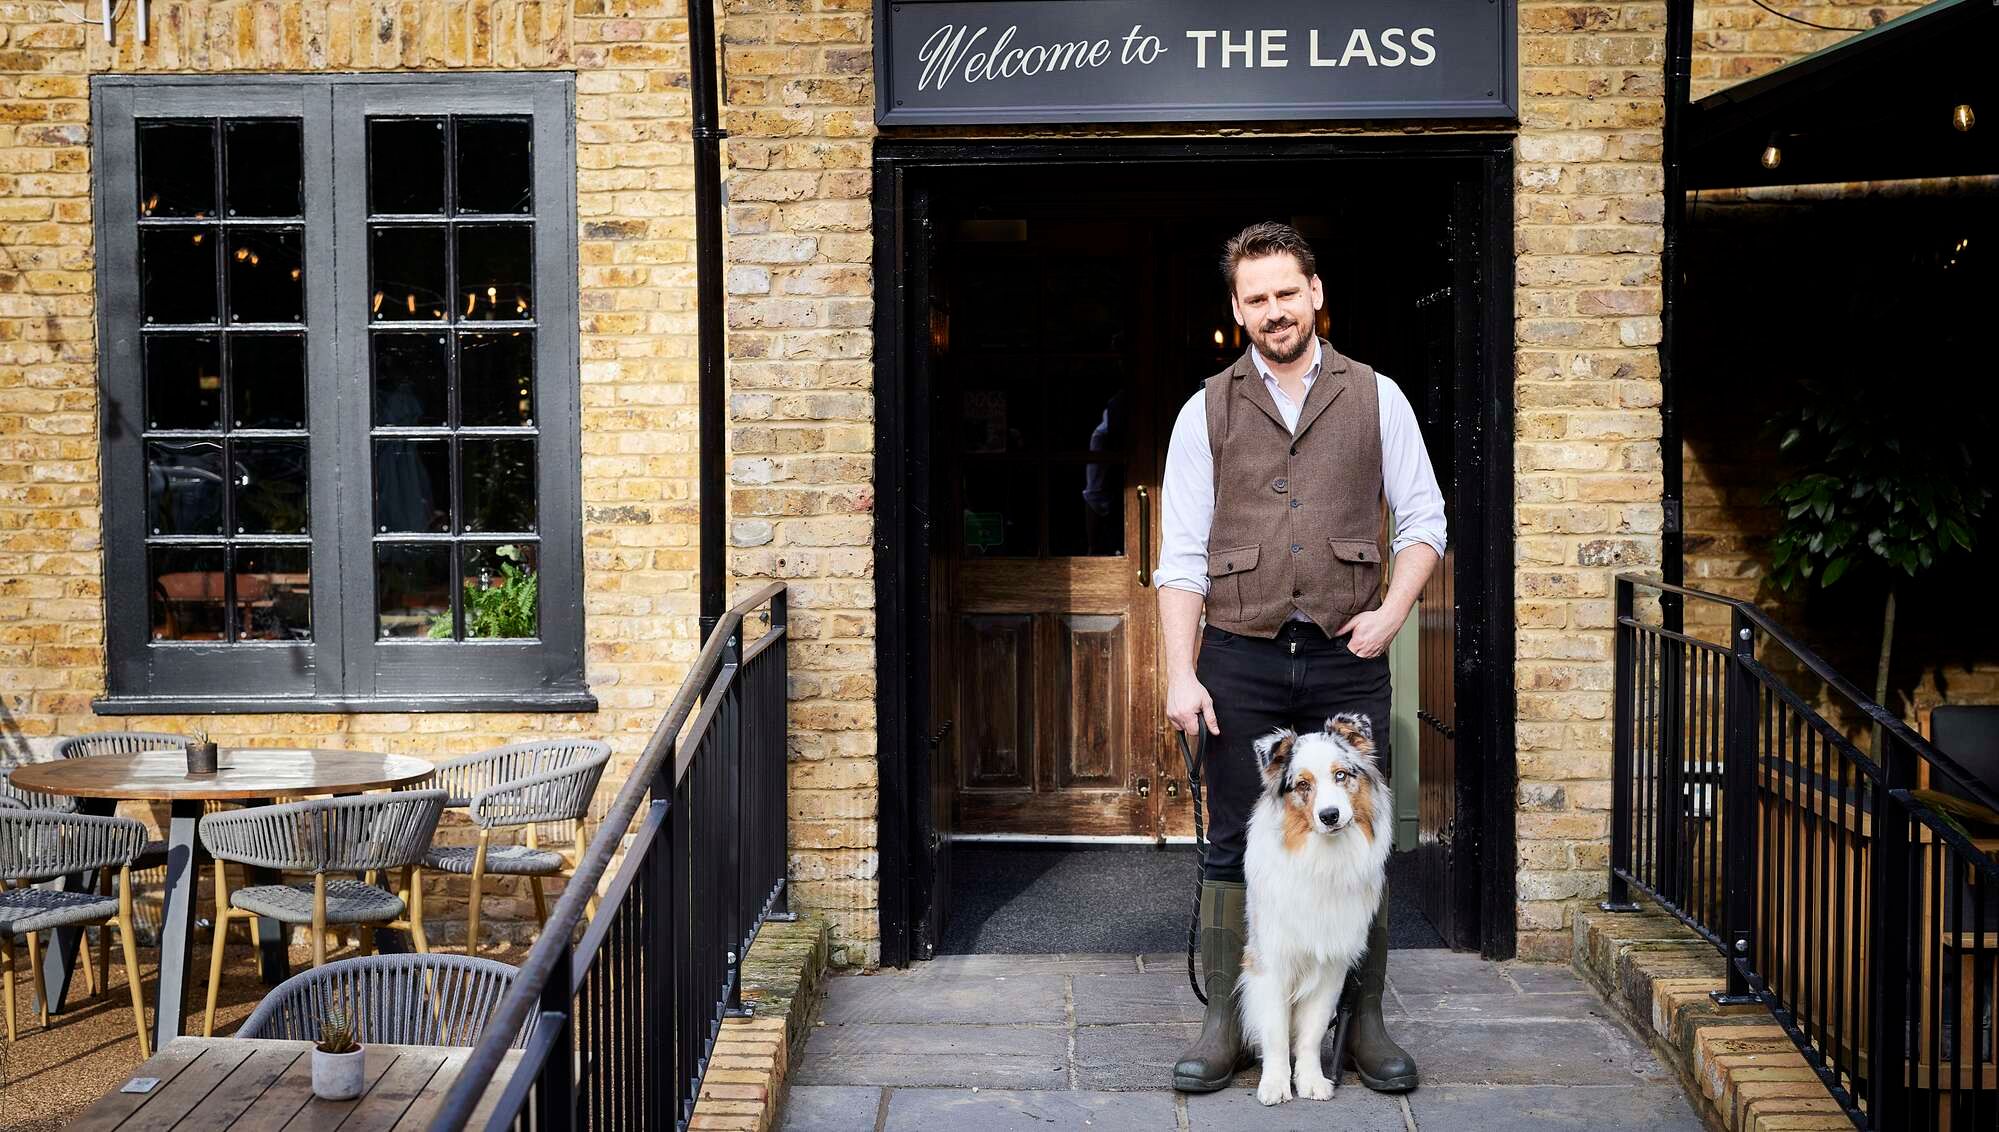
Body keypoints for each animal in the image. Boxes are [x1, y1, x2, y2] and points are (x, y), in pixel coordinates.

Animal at [1231, 720, 1391, 1112]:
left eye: (1341, 775)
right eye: (1303, 785)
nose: (1329, 815)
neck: (1323, 859)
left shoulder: (1333, 963)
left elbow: (1313, 1030)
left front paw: (1312, 1080)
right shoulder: (1272, 961)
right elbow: (1275, 1029)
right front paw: (1275, 1083)